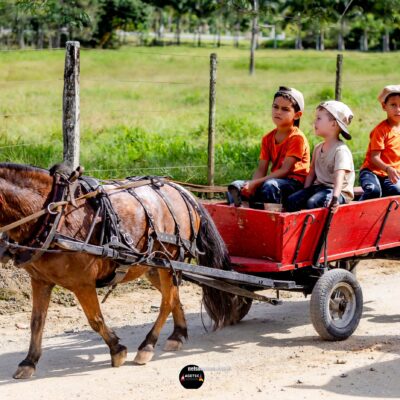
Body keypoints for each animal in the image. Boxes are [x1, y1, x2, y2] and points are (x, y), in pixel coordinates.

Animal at [0, 163, 248, 379]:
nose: (4, 250)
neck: (53, 215)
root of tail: (183, 191)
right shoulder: (40, 280)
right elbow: (36, 322)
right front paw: (29, 362)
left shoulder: (82, 283)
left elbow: (95, 319)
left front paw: (117, 349)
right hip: (155, 266)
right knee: (173, 297)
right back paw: (177, 335)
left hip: (168, 260)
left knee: (166, 302)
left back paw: (148, 346)